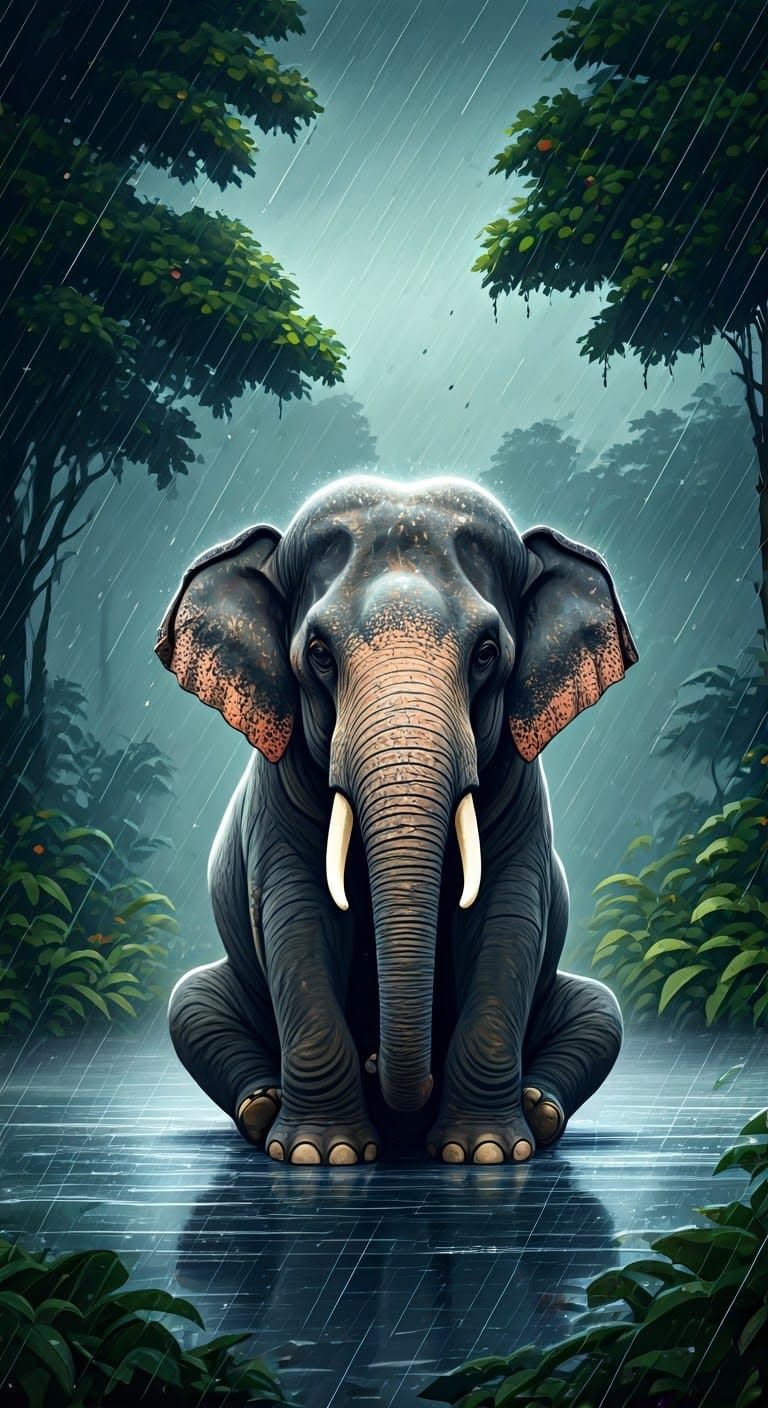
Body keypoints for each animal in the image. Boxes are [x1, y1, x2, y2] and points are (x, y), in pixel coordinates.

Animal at [156, 476, 637, 1167]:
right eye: (319, 654)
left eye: (486, 653)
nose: (379, 1064)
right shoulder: (280, 791)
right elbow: (299, 919)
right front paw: (321, 1156)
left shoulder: (521, 788)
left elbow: (505, 919)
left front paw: (482, 1153)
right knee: (189, 1005)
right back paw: (261, 1109)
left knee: (602, 1010)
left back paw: (540, 1113)